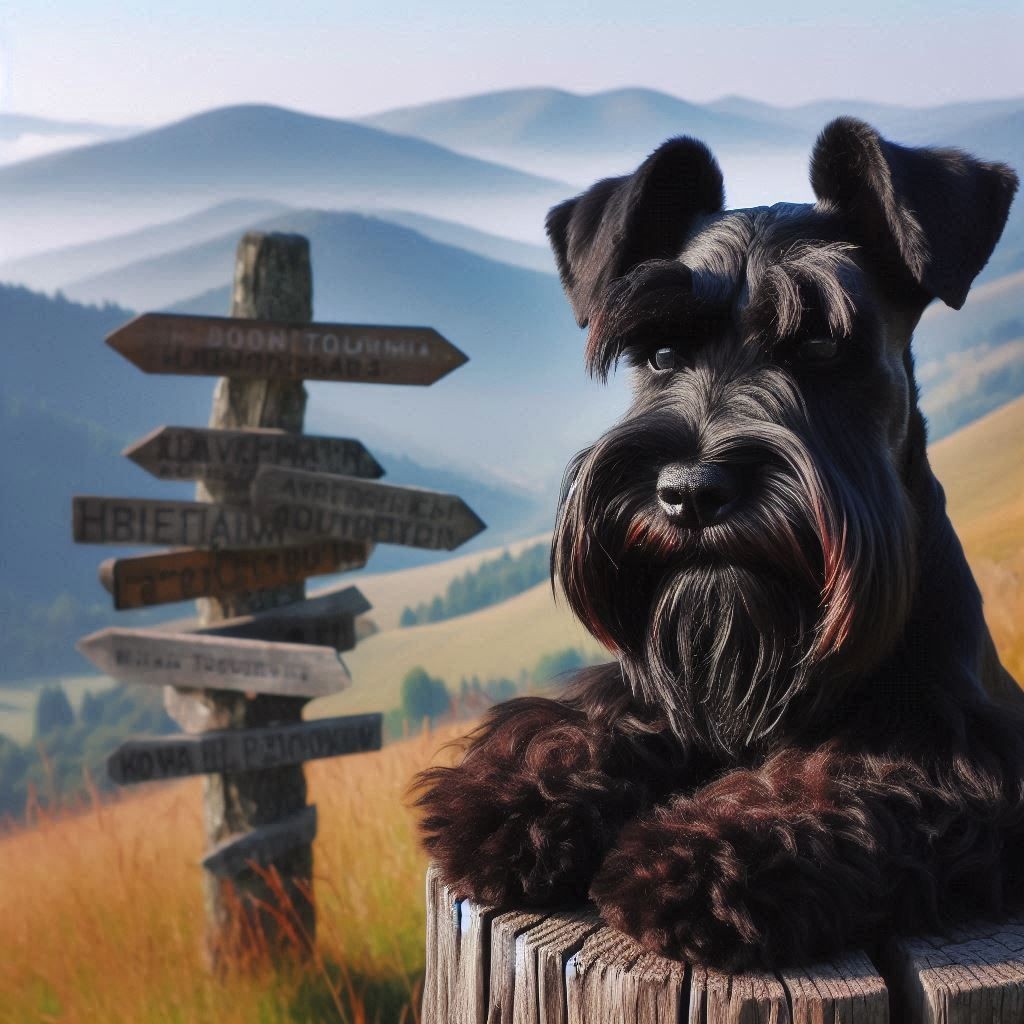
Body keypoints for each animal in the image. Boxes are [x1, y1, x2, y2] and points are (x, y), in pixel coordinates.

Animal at [417, 117, 1024, 966]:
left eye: (821, 346)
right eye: (661, 353)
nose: (690, 491)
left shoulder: (951, 749)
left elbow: (826, 780)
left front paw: (699, 855)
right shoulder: (654, 691)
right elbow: (599, 720)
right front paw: (514, 796)